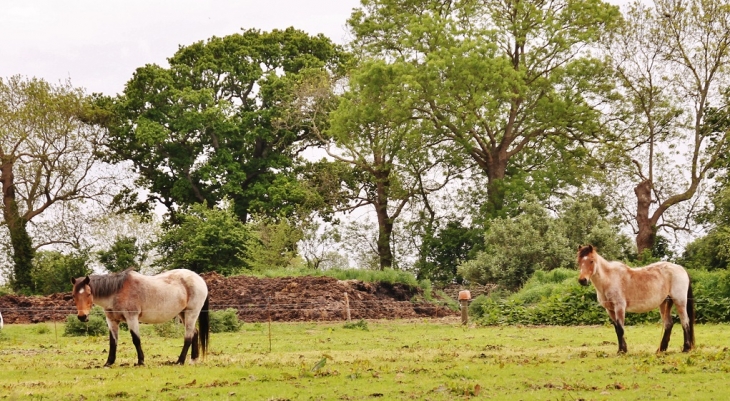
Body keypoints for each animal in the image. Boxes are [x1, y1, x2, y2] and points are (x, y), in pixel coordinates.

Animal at [70, 268, 209, 366]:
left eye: (88, 294)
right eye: (73, 295)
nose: (82, 316)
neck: (116, 292)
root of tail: (199, 279)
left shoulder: (132, 318)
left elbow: (136, 339)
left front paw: (140, 361)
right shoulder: (111, 320)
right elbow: (113, 342)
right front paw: (108, 362)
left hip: (191, 313)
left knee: (188, 336)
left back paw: (180, 361)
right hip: (183, 314)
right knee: (195, 332)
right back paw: (193, 360)